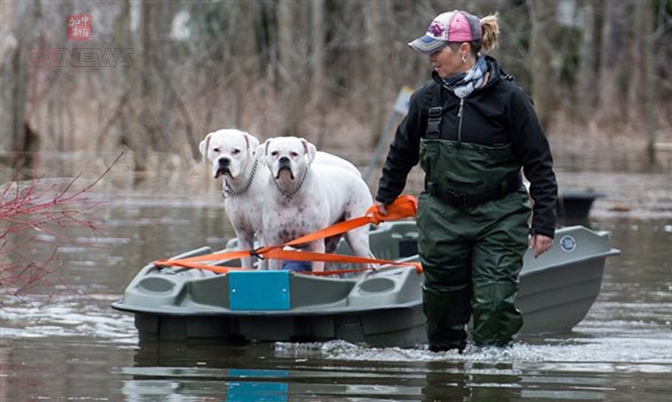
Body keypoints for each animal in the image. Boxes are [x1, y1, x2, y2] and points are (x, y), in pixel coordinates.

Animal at [200, 129, 362, 268]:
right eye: (216, 150)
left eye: (236, 151)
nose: (224, 161)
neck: (244, 184)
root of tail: (355, 170)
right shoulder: (243, 234)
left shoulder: (263, 235)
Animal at [258, 137, 372, 272]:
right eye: (274, 153)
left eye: (294, 154)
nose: (284, 159)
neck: (290, 191)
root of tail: (357, 176)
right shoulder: (275, 245)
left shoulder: (316, 245)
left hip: (357, 239)